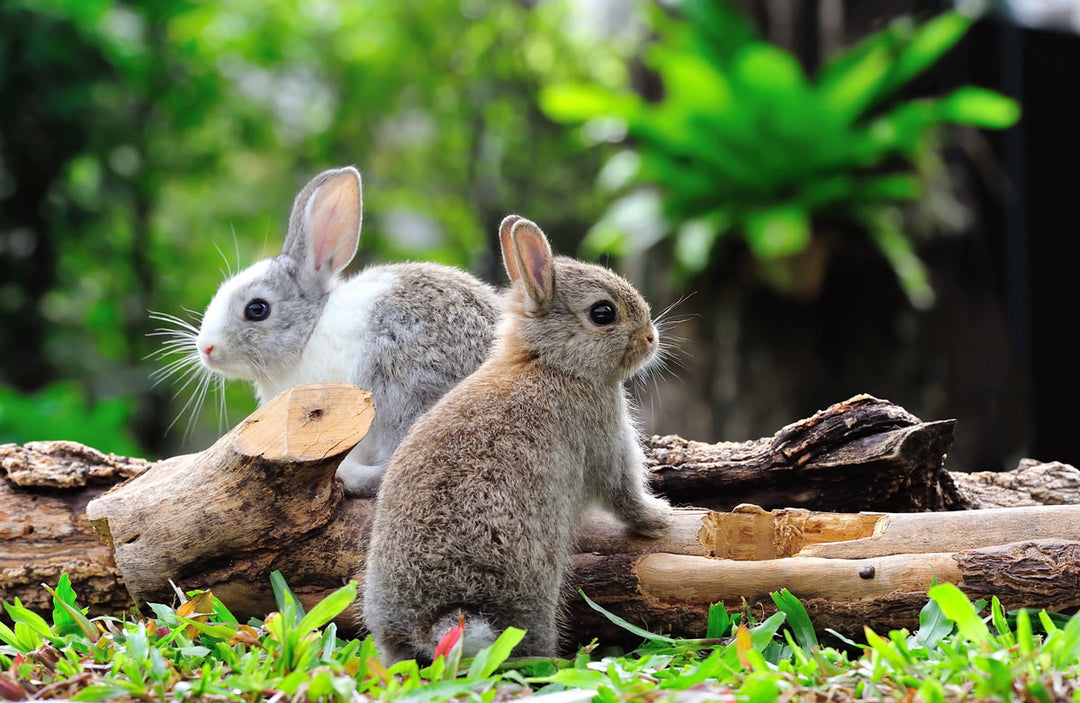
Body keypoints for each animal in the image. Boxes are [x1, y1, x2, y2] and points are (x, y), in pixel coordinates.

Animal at [362, 215, 672, 663]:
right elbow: (623, 493)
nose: (651, 338)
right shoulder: (605, 439)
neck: (550, 362)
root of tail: (438, 618)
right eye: (603, 313)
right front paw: (659, 519)